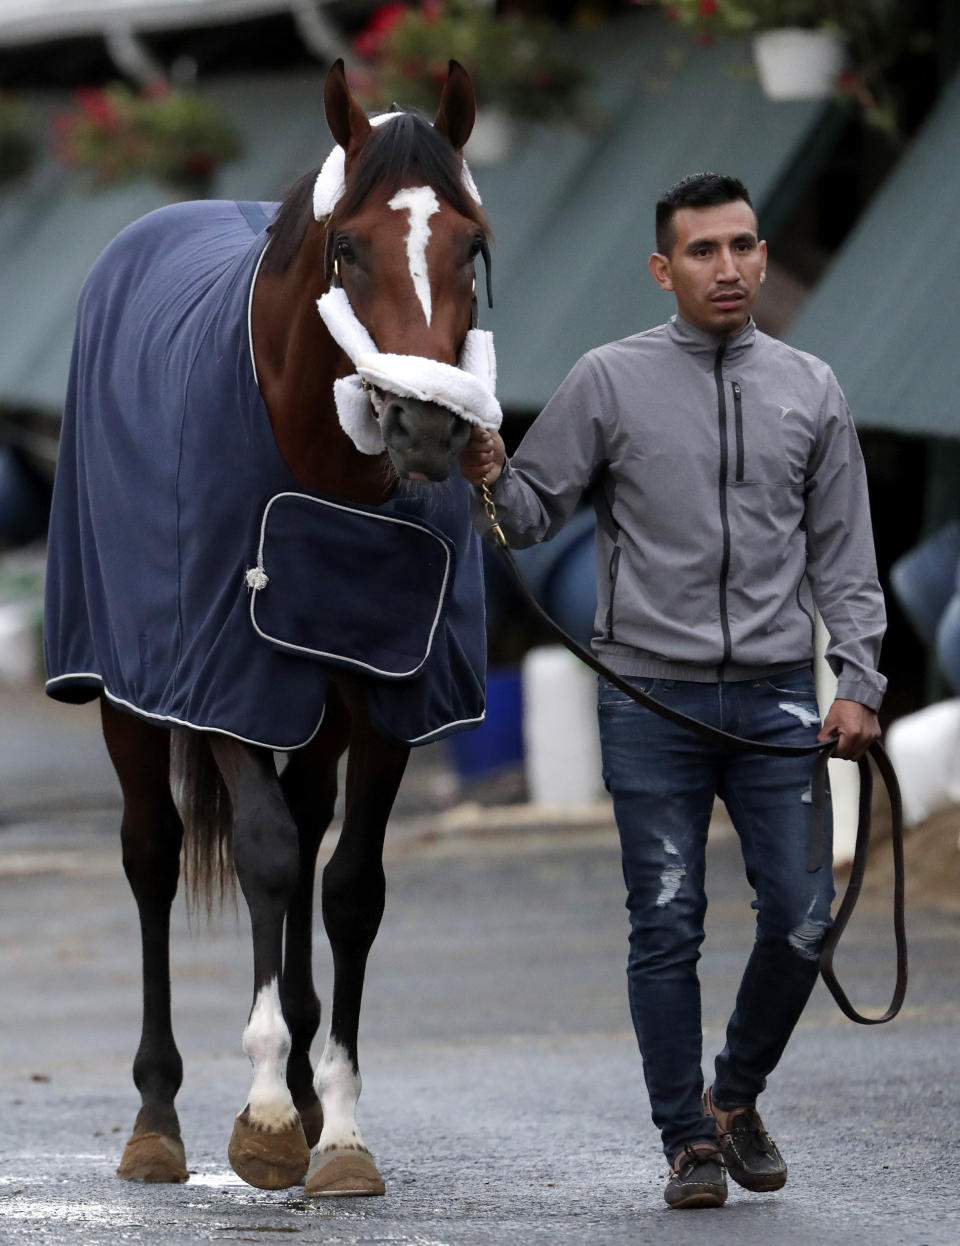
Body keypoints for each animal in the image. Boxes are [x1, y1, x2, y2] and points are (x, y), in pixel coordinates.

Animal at [42, 58, 498, 1196]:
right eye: (347, 249)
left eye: (472, 245)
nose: (428, 427)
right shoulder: (223, 682)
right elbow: (265, 855)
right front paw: (262, 1114)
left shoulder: (386, 701)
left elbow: (349, 888)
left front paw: (333, 1125)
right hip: (128, 694)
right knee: (154, 855)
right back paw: (158, 1116)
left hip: (316, 712)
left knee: (305, 824)